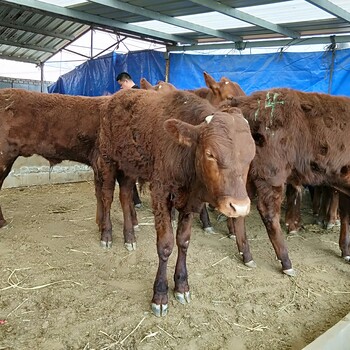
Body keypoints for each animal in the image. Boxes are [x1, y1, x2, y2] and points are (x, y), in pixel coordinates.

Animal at [97, 88, 256, 318]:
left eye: (251, 156)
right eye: (210, 154)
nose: (239, 206)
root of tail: (117, 95)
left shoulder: (190, 203)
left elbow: (183, 241)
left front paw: (181, 285)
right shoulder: (161, 193)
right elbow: (165, 245)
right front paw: (160, 294)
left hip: (129, 166)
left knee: (125, 195)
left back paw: (129, 237)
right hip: (108, 158)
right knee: (107, 196)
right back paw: (107, 235)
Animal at [226, 89, 350, 274]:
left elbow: (345, 216)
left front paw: (345, 251)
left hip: (246, 175)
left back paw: (246, 255)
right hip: (272, 173)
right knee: (269, 212)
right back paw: (286, 262)